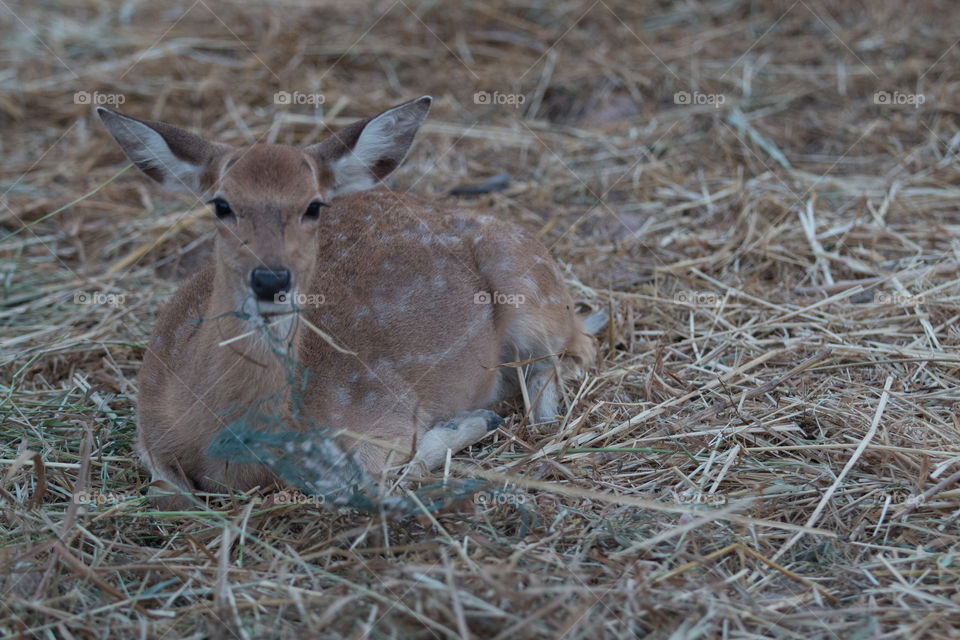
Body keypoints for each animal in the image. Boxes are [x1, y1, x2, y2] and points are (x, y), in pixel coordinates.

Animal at [95, 97, 592, 508]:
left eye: (314, 206)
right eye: (221, 204)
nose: (271, 280)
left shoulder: (381, 412)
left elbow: (358, 480)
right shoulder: (147, 426)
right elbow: (167, 492)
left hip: (531, 290)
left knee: (566, 363)